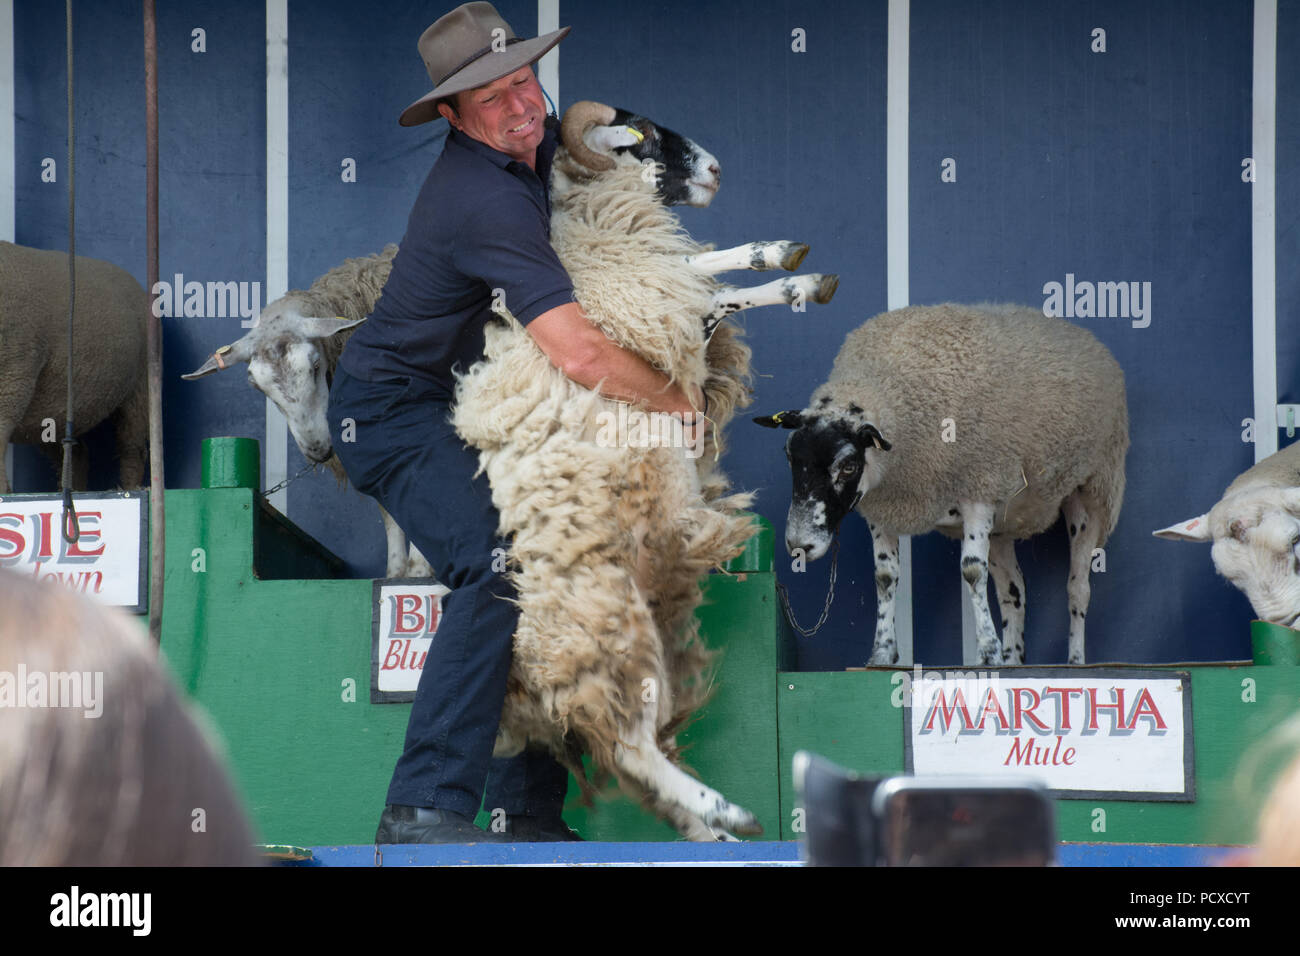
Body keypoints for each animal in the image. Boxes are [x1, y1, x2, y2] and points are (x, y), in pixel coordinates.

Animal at [0, 243, 148, 494]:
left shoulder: (14, 377)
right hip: (52, 408)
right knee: (77, 453)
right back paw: (73, 492)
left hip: (141, 386)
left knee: (133, 447)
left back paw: (132, 489)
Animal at [754, 304, 1128, 665]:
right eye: (789, 455)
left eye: (848, 466)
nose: (800, 546)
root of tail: (1087, 338)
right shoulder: (882, 508)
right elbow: (885, 576)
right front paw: (882, 653)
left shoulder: (979, 489)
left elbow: (972, 571)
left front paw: (987, 652)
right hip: (1002, 523)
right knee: (1014, 590)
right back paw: (1013, 659)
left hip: (1094, 490)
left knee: (1078, 588)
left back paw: (1074, 661)